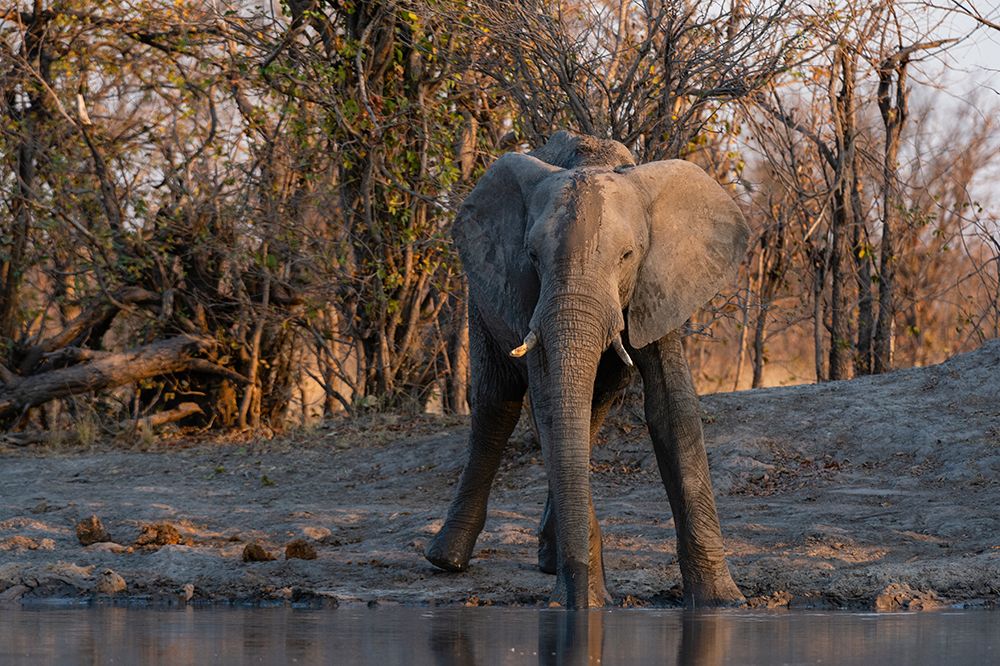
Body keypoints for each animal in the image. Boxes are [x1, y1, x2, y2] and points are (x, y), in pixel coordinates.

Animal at [425, 130, 748, 609]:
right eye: (533, 256)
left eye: (628, 255)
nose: (573, 600)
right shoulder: (528, 294)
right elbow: (548, 409)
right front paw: (589, 603)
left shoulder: (659, 281)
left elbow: (672, 410)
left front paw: (723, 602)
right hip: (481, 293)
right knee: (497, 404)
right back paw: (446, 560)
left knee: (594, 407)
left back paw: (547, 557)